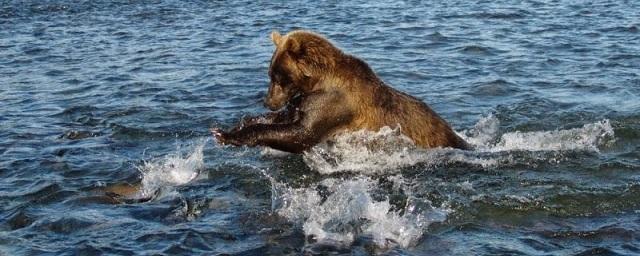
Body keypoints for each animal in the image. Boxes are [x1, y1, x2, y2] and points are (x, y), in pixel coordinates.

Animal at [212, 30, 468, 154]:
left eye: (277, 77)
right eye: (271, 74)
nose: (267, 101)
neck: (318, 82)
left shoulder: (335, 105)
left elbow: (301, 134)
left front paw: (227, 135)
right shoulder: (305, 101)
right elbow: (284, 119)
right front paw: (234, 125)